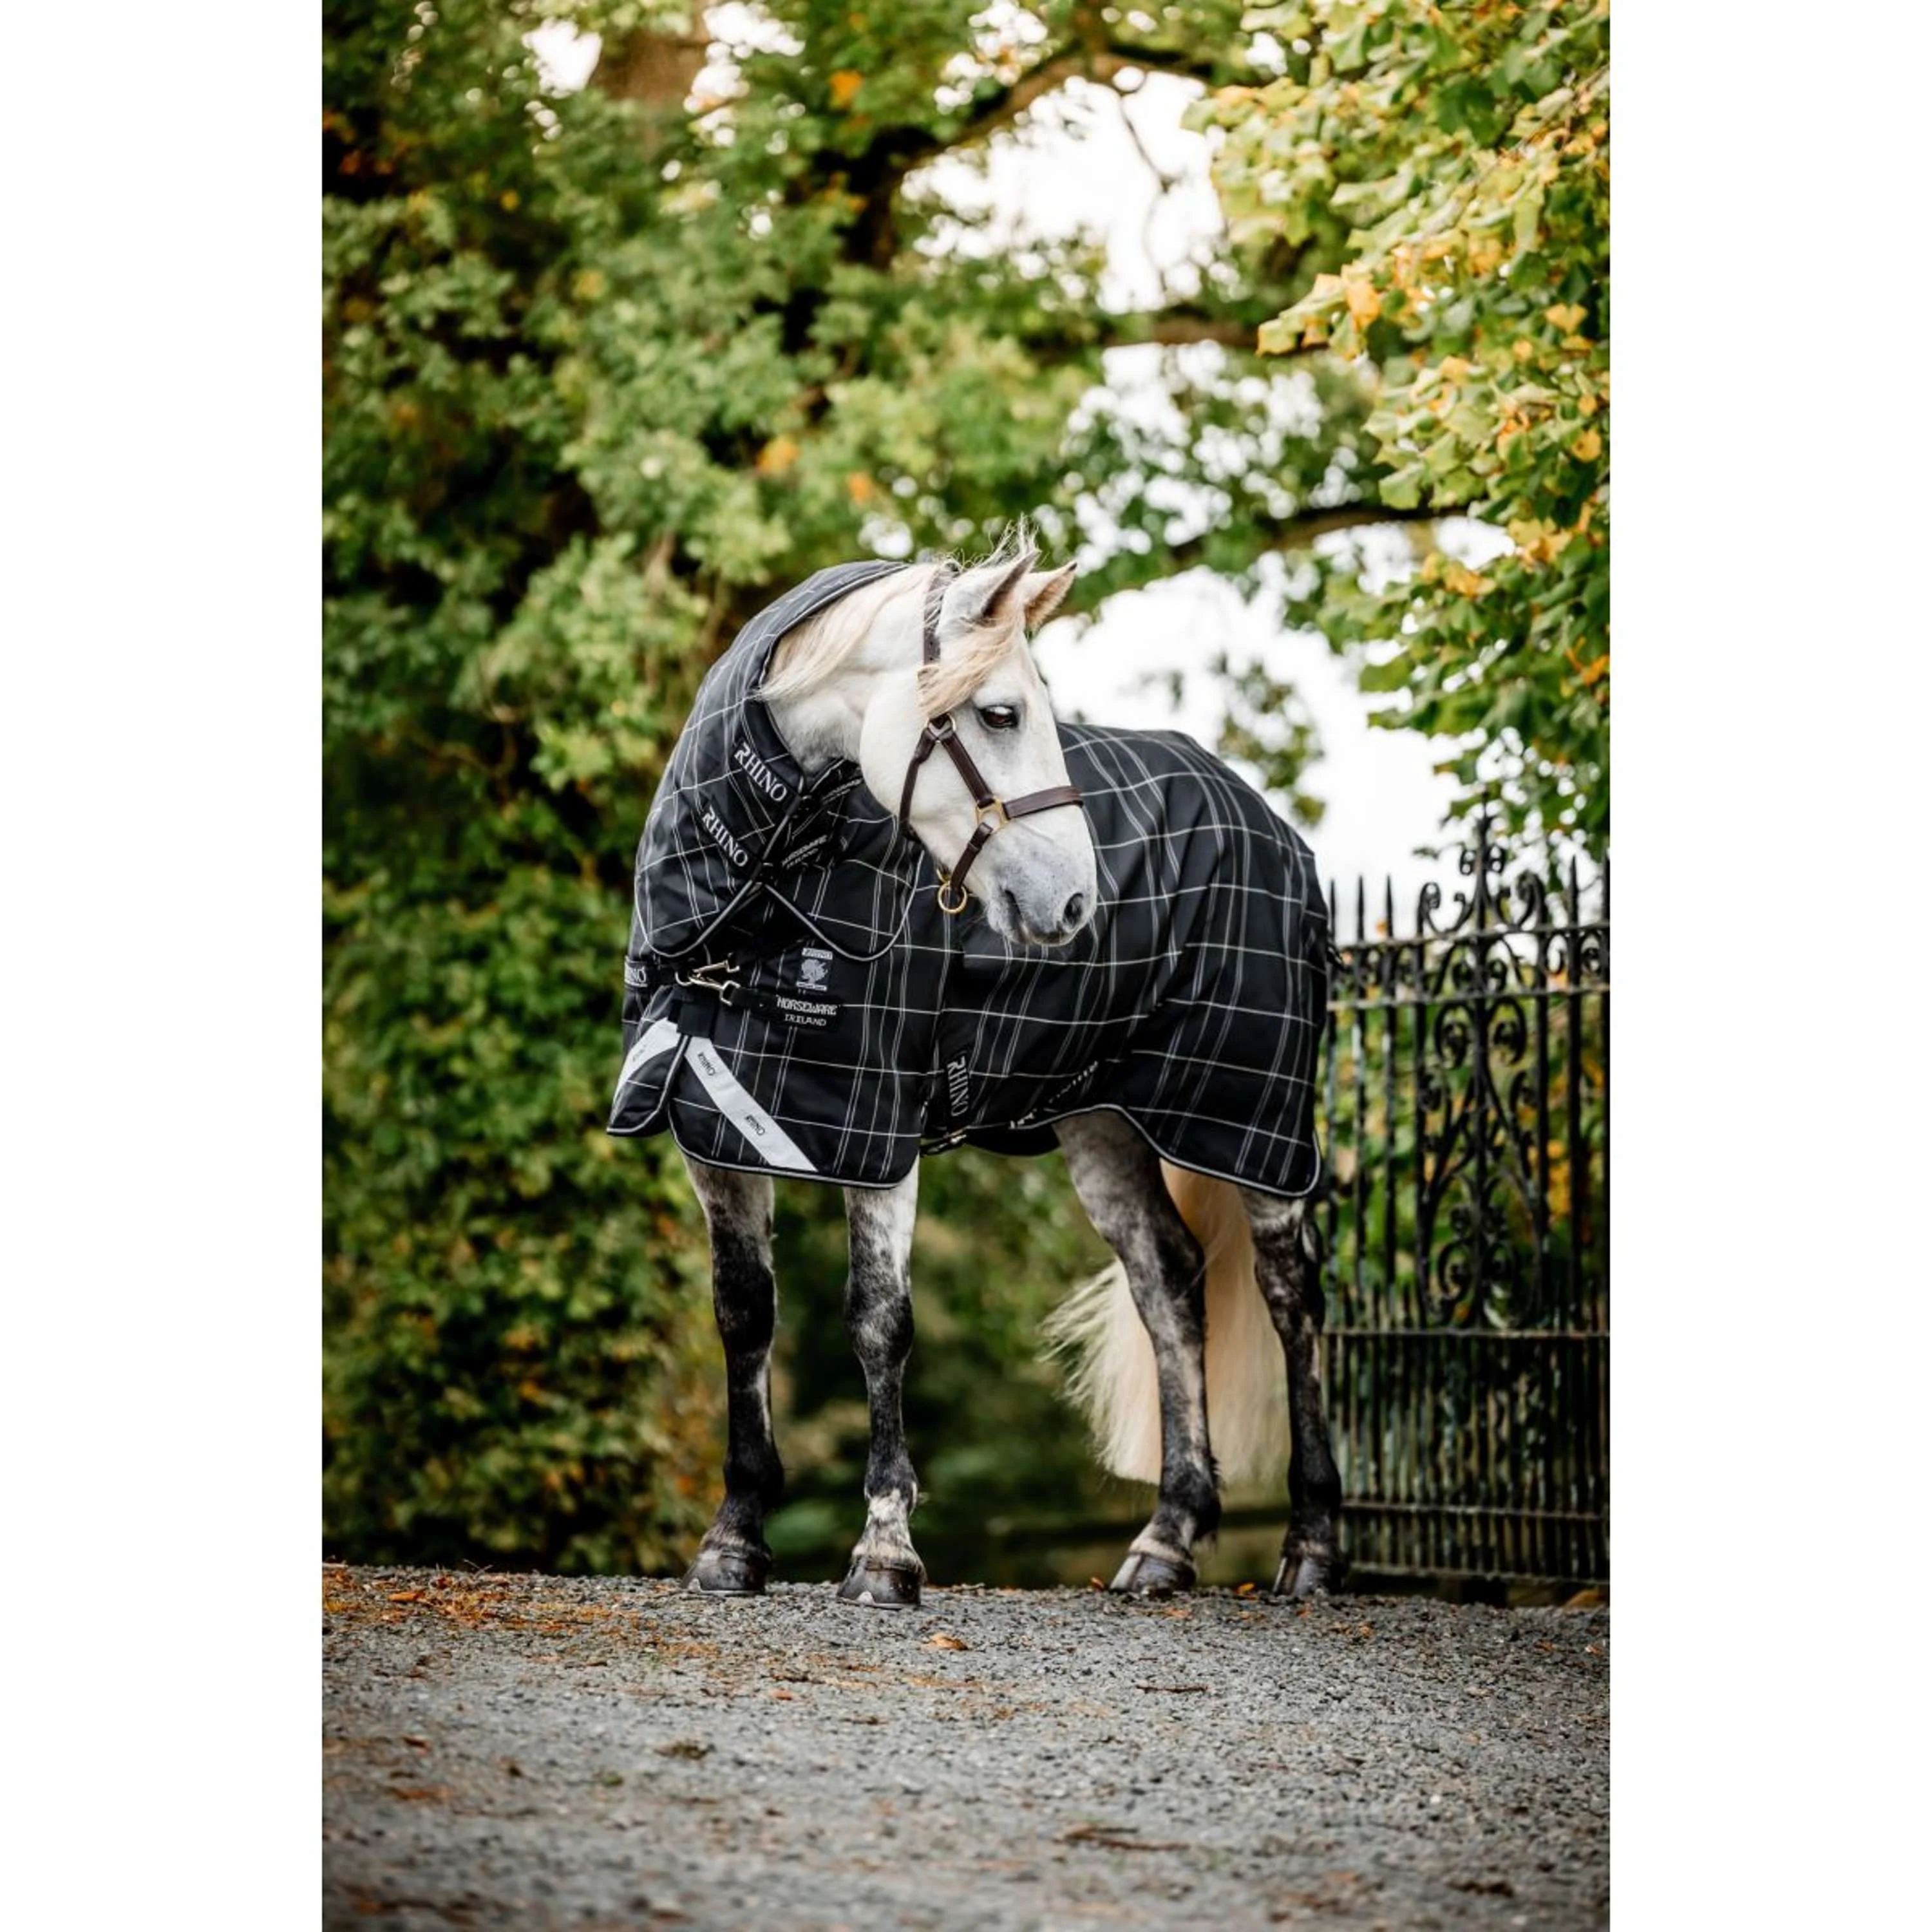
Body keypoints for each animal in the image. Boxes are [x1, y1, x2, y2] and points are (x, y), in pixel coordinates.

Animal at [609, 541, 1343, 1607]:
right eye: (999, 713)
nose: (1076, 901)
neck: (753, 912)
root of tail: (1261, 816)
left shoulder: (877, 1138)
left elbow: (879, 1322)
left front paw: (884, 1554)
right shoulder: (715, 1130)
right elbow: (744, 1317)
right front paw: (734, 1542)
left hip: (1250, 1117)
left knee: (1293, 1294)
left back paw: (1313, 1545)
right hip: (1102, 1122)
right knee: (1169, 1285)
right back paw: (1165, 1542)